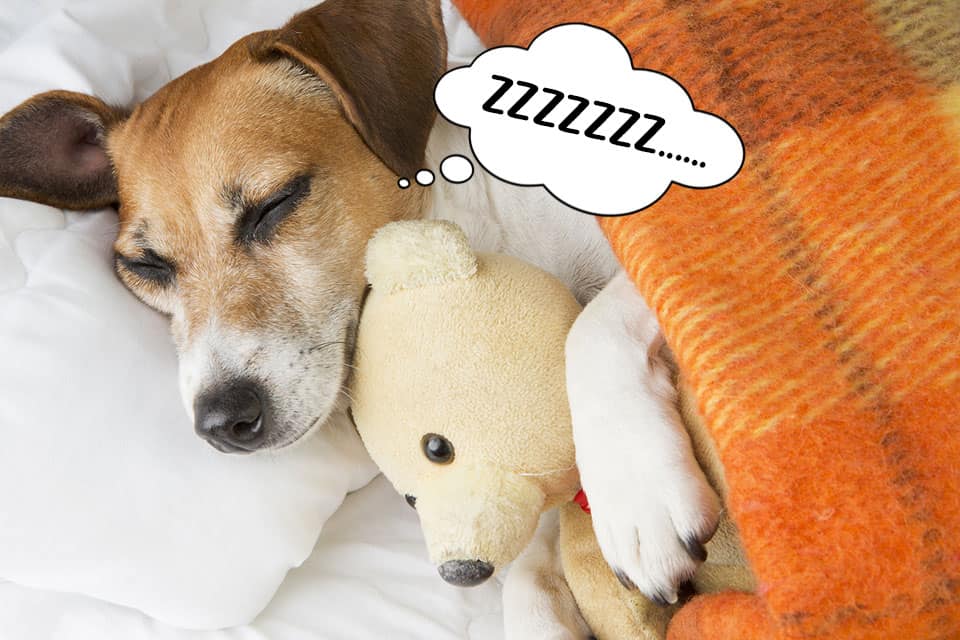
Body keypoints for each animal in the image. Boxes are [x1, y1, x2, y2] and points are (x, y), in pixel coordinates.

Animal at [0, 0, 720, 632]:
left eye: (275, 204)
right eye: (145, 265)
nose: (221, 422)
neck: (485, 235)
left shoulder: (655, 253)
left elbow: (593, 327)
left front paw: (636, 491)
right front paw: (539, 610)